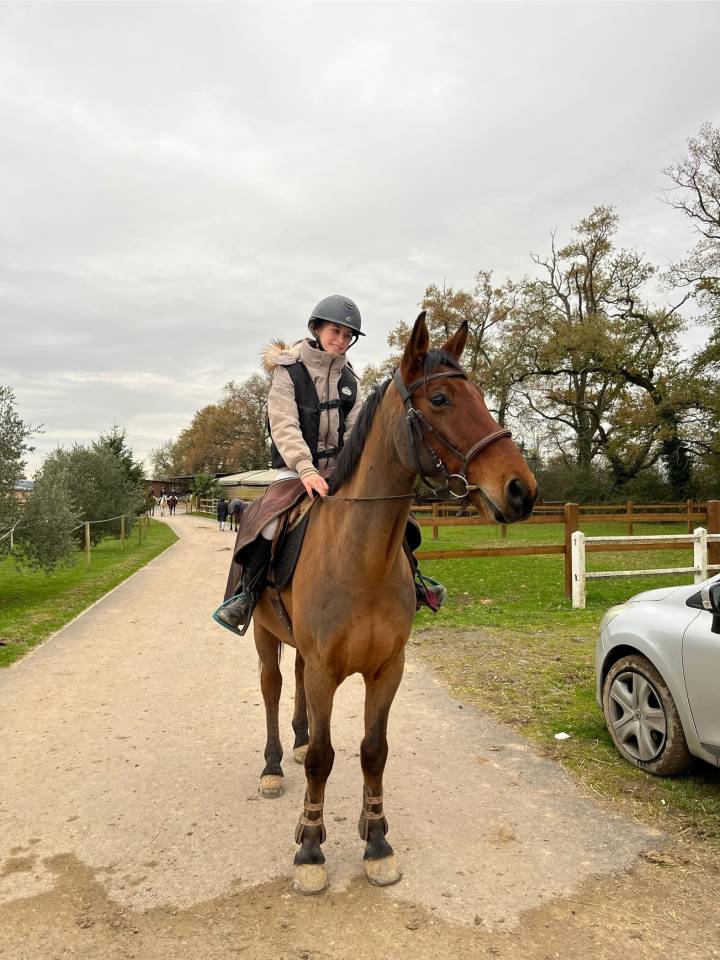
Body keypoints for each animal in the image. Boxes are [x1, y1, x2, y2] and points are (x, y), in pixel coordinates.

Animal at [249, 313, 537, 895]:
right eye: (441, 399)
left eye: (480, 395)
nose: (522, 490)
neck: (361, 557)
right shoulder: (327, 670)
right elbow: (322, 760)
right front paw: (310, 849)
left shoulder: (387, 669)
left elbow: (372, 751)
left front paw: (375, 838)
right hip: (266, 636)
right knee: (272, 689)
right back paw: (272, 767)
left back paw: (296, 741)